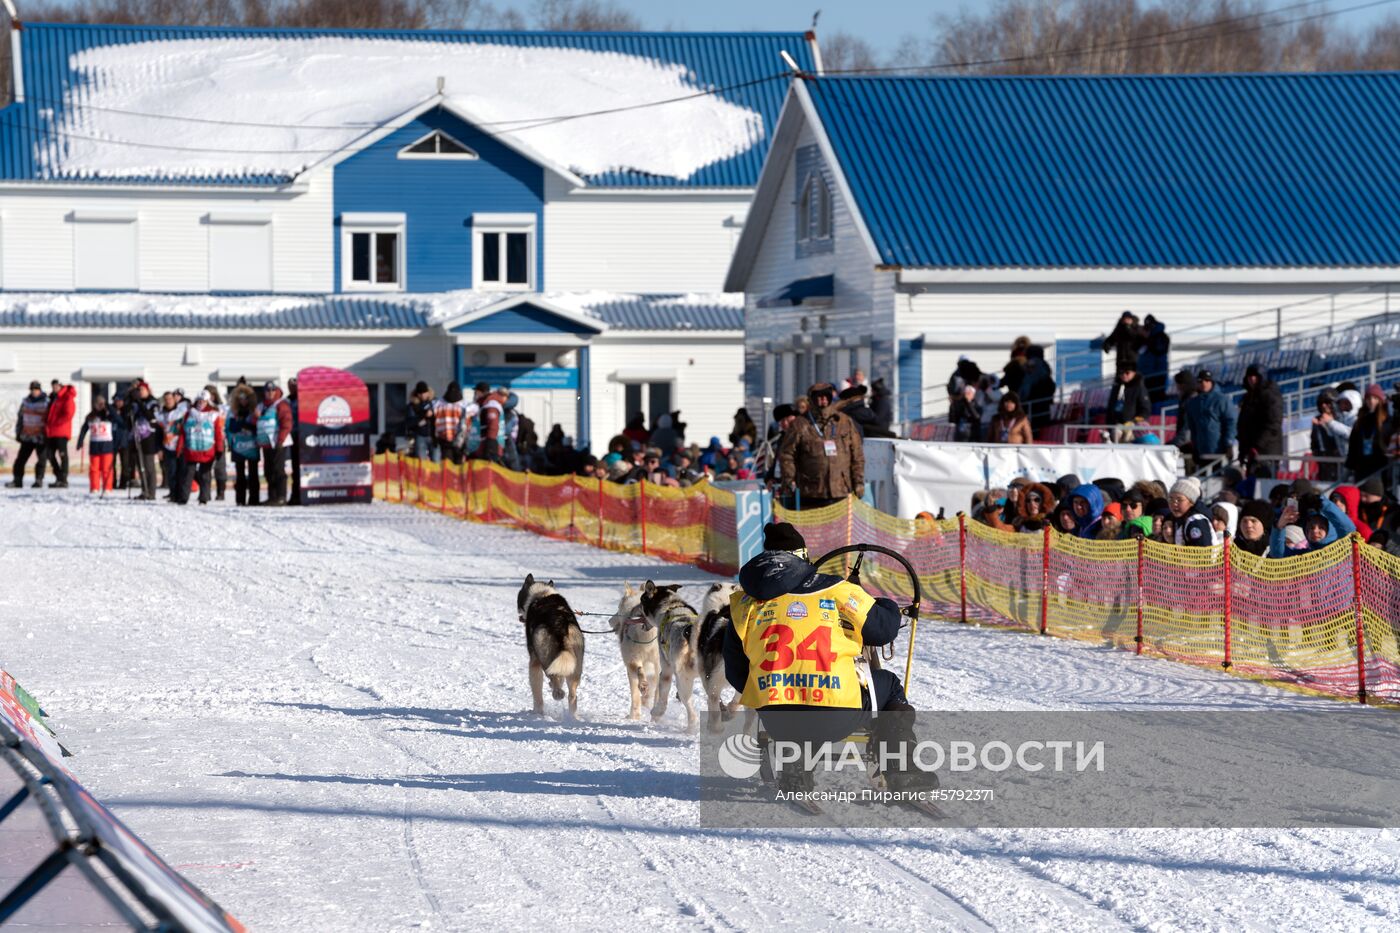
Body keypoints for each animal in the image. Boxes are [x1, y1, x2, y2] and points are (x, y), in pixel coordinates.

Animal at [520, 571, 585, 714]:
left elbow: (537, 692)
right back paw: (573, 716)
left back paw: (556, 694)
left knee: (552, 678)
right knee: (572, 695)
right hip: (575, 663)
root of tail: (560, 624)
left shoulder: (534, 661)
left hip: (543, 654)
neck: (543, 594)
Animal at [641, 577, 744, 728]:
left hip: (685, 679)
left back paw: (693, 725)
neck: (672, 608)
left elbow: (663, 694)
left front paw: (657, 712)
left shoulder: (666, 670)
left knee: (690, 706)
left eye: (641, 600)